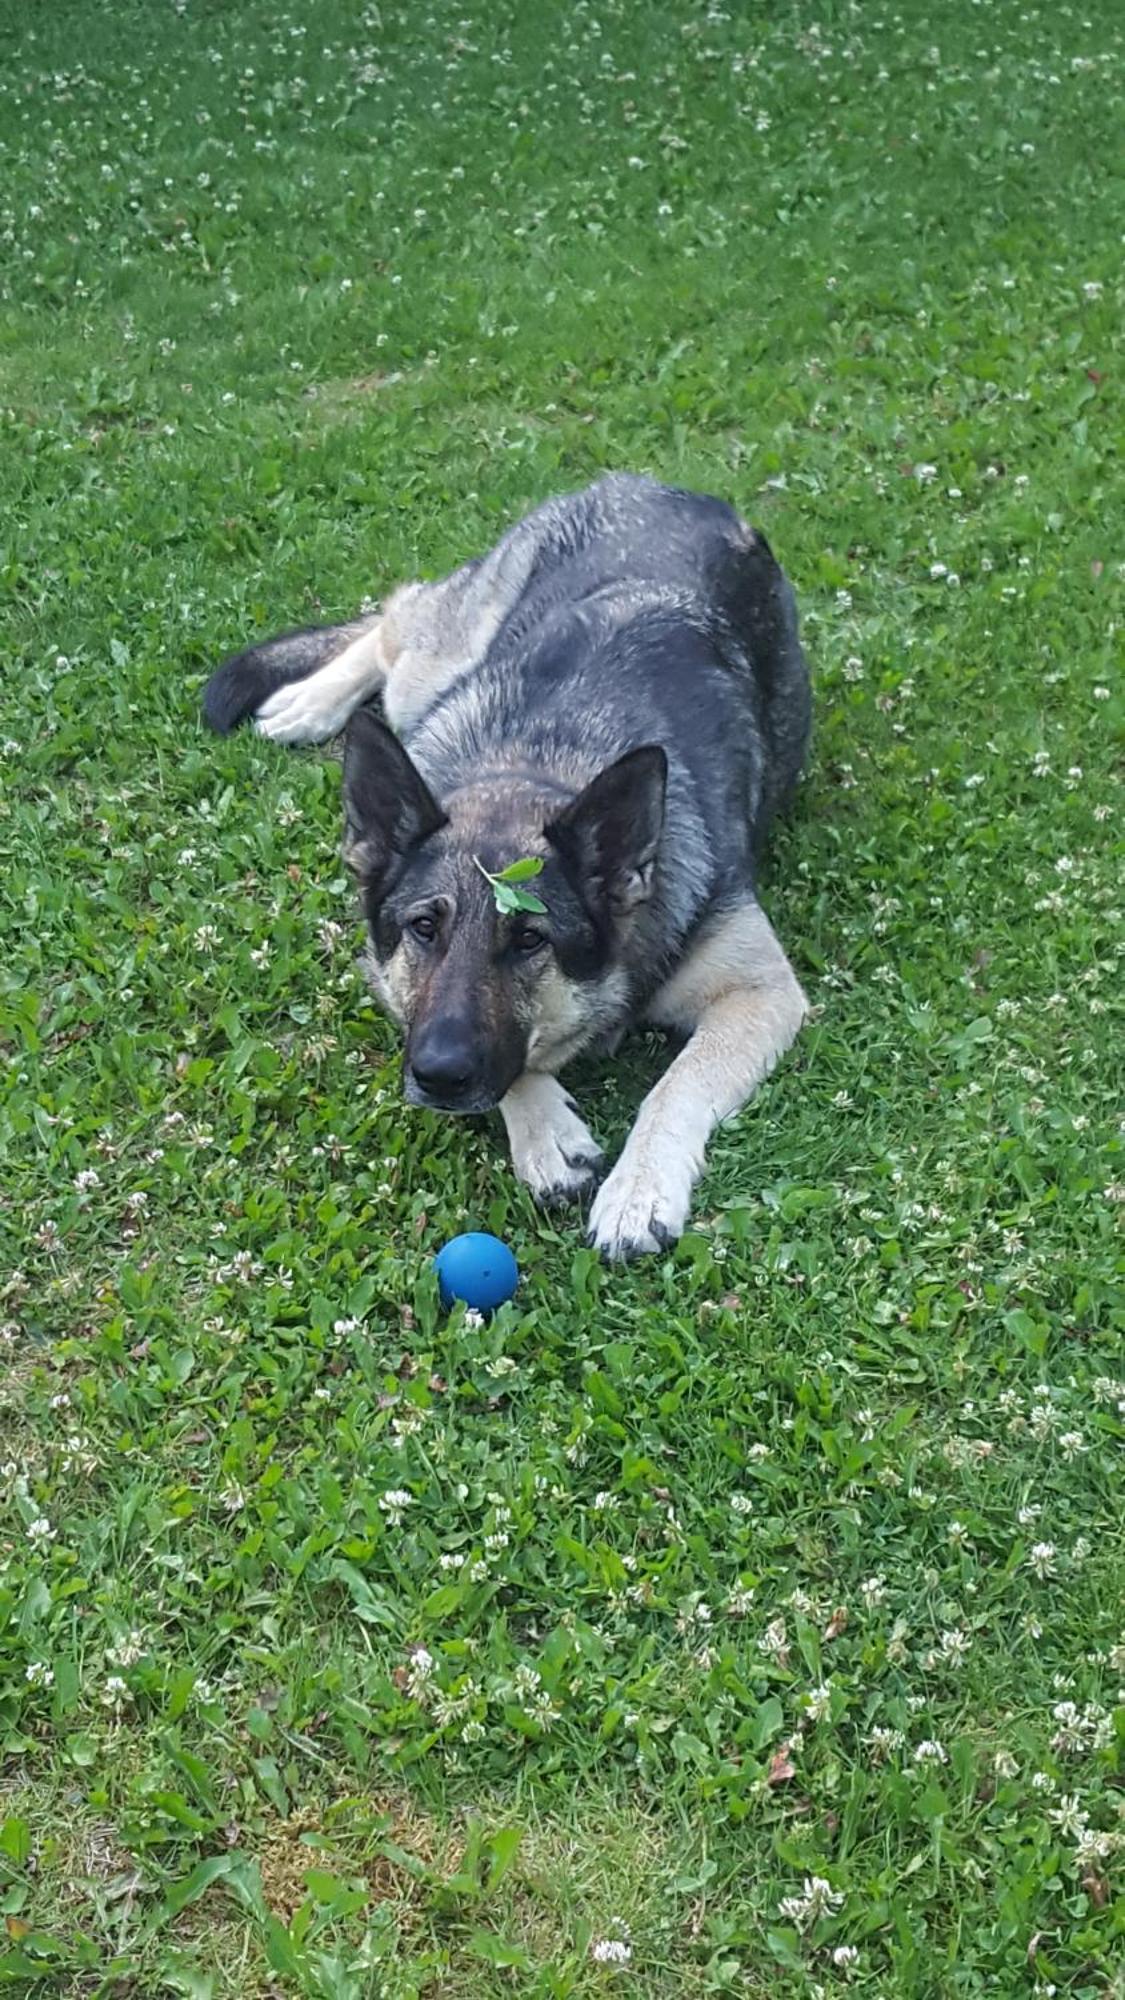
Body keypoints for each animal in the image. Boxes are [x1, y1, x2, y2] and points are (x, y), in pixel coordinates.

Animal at [203, 472, 804, 1248]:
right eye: (424, 929)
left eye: (528, 940)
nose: (437, 1076)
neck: (532, 765)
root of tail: (654, 485)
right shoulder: (390, 980)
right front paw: (543, 1128)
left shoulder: (760, 993)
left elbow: (677, 1083)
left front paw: (638, 1187)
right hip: (434, 667)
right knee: (397, 615)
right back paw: (312, 699)